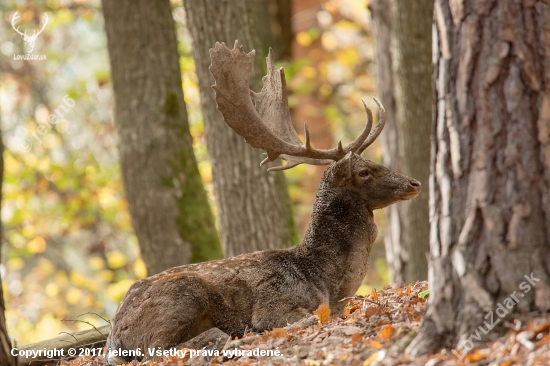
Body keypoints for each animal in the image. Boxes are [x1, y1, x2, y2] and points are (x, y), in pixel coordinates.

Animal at [104, 42, 422, 364]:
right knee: (161, 348)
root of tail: (114, 336)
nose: (414, 183)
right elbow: (306, 317)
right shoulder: (274, 304)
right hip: (183, 294)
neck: (327, 283)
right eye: (364, 172)